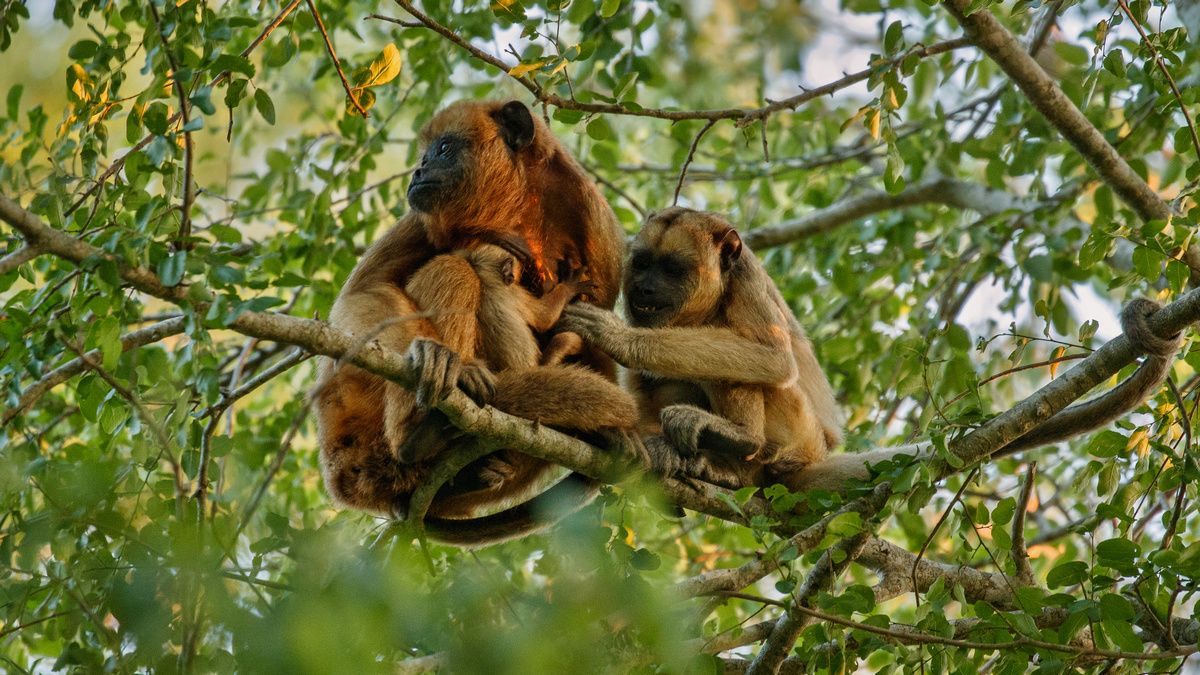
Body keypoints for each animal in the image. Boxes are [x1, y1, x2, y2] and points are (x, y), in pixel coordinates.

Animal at [556, 205, 840, 482]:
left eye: (672, 270)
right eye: (642, 263)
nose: (644, 288)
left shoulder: (746, 279)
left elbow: (774, 357)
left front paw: (618, 338)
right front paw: (629, 437)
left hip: (800, 431)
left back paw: (743, 437)